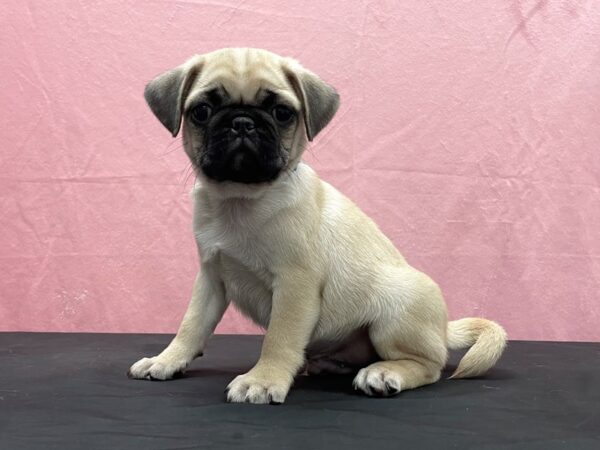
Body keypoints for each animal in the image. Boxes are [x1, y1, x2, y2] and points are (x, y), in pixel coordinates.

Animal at [126, 48, 506, 404]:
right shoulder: (211, 279)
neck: (241, 200)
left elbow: (278, 338)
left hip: (396, 309)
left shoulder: (295, 285)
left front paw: (262, 380)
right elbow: (191, 325)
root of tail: (443, 329)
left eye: (282, 113)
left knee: (429, 365)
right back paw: (330, 363)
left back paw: (383, 373)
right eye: (202, 111)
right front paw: (167, 359)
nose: (242, 122)